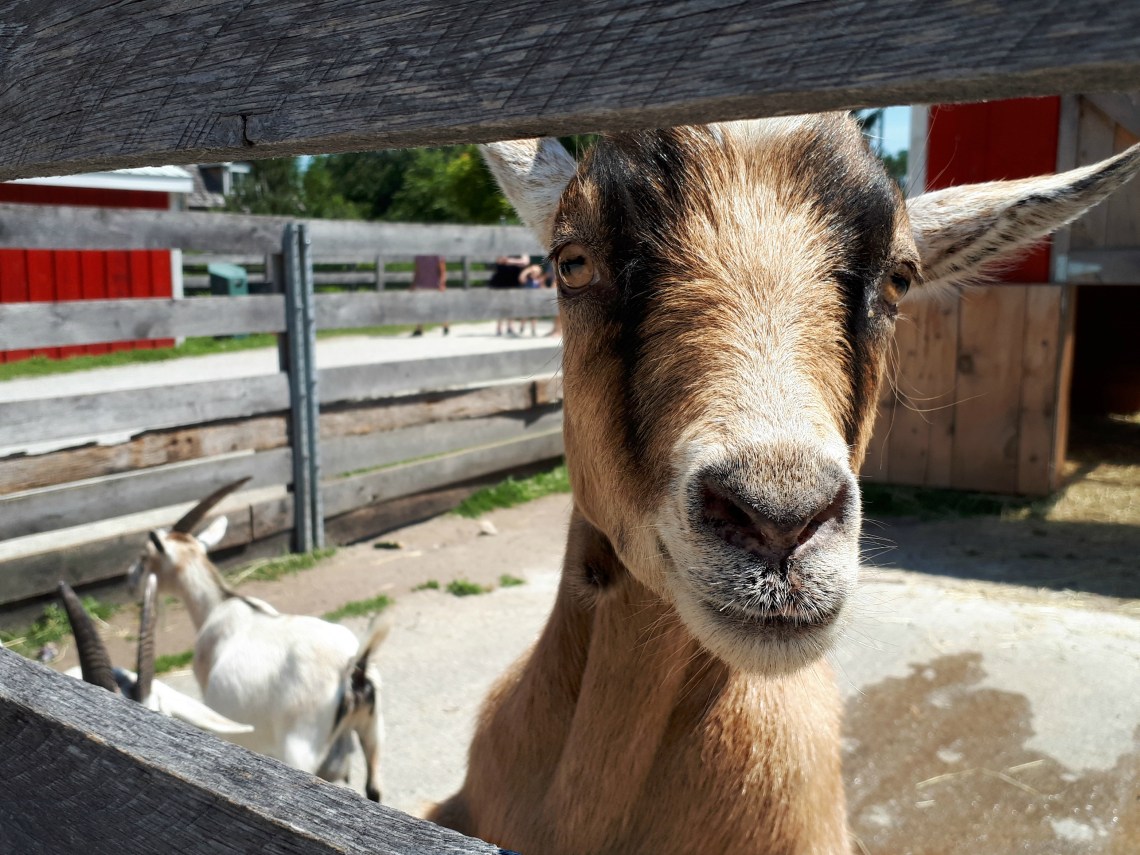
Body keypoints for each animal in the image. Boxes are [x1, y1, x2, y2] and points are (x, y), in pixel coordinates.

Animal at [128, 480, 387, 801]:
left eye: (144, 556)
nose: (129, 583)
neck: (219, 606)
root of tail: (354, 671)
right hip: (373, 731)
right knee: (374, 788)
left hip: (300, 747)